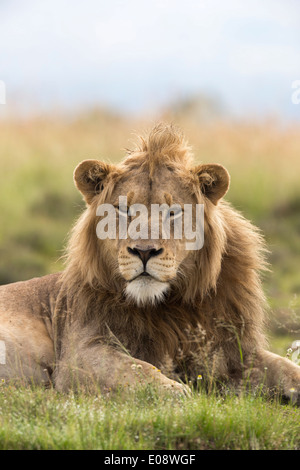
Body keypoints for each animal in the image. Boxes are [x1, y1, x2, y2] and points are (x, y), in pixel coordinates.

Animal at [0, 124, 300, 400]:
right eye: (123, 209)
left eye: (173, 212)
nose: (144, 251)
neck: (172, 307)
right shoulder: (76, 355)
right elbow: (136, 369)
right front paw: (177, 394)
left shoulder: (231, 350)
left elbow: (285, 367)